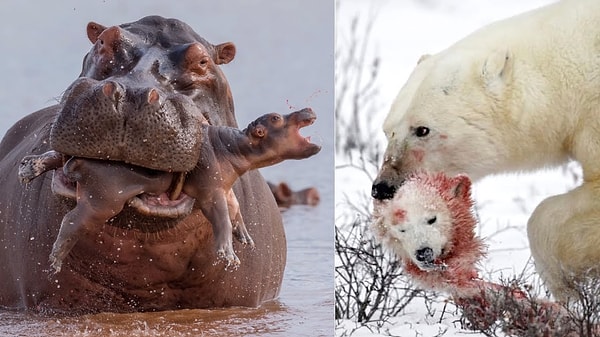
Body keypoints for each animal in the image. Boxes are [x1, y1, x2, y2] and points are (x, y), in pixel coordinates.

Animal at [19, 108, 318, 272]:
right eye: (276, 118)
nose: (307, 109)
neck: (233, 145)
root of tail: (80, 162)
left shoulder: (225, 187)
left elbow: (234, 209)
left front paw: (246, 237)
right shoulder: (211, 191)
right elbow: (220, 218)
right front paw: (229, 257)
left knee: (56, 157)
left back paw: (28, 168)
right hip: (101, 201)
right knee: (70, 220)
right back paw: (55, 261)